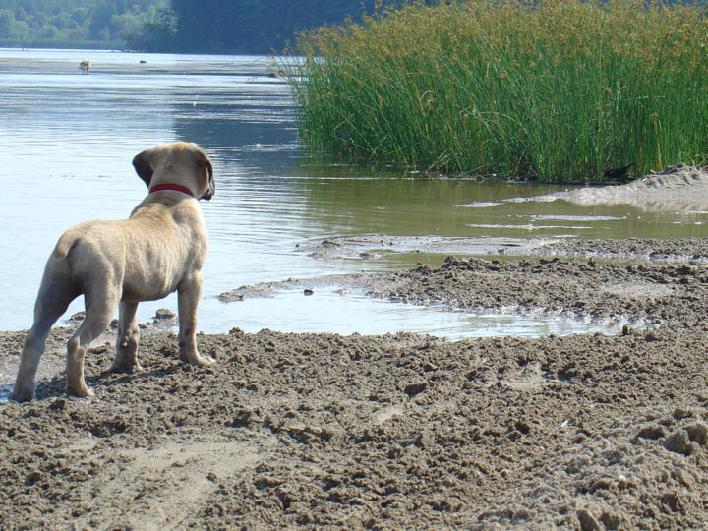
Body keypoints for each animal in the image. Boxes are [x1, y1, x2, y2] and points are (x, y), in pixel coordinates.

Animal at [11, 141, 216, 404]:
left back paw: (22, 393)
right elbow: (189, 326)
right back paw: (80, 390)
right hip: (103, 300)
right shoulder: (193, 280)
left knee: (34, 340)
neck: (169, 194)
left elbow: (128, 332)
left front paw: (126, 367)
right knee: (76, 343)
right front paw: (196, 361)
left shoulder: (130, 295)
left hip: (52, 296)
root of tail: (75, 237)